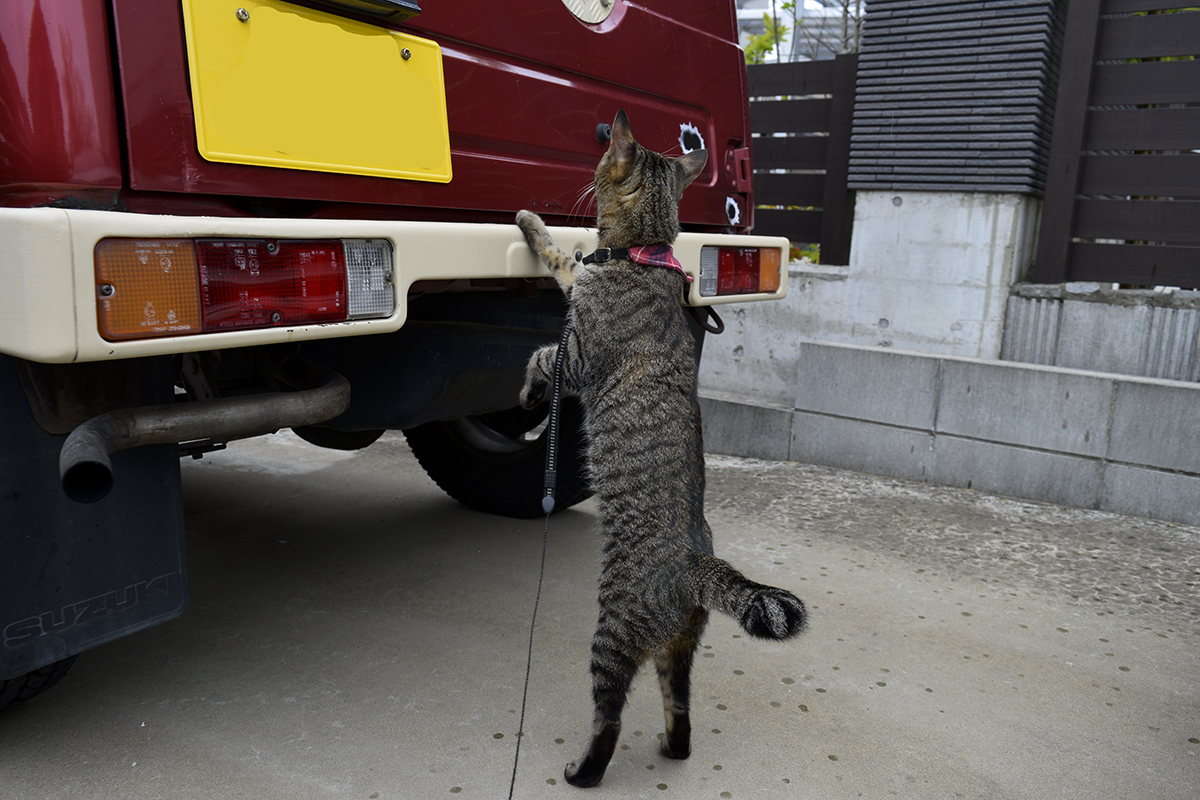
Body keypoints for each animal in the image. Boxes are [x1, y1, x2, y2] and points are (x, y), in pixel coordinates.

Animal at [515, 110, 807, 788]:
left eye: (601, 155)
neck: (641, 252)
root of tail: (699, 564)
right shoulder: (579, 289)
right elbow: (563, 257)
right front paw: (535, 224)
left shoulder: (575, 355)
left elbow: (543, 342)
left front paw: (526, 392)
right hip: (680, 652)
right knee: (681, 712)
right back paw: (673, 748)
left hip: (613, 631)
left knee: (610, 716)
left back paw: (583, 771)